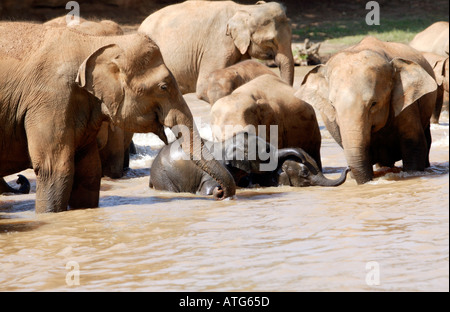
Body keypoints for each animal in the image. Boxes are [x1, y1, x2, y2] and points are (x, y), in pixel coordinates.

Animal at [0, 22, 237, 212]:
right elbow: (55, 169)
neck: (94, 42)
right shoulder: (51, 99)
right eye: (163, 87)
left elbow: (89, 171)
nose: (220, 193)